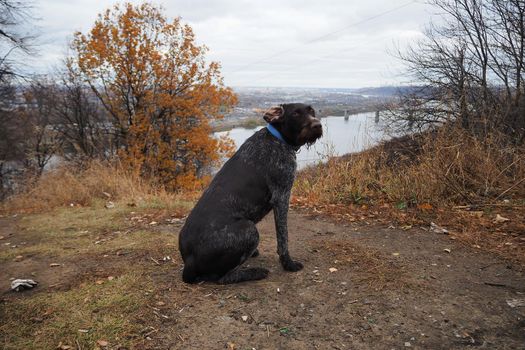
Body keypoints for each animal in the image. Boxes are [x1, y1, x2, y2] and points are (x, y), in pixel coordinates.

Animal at [178, 102, 322, 284]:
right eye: (295, 113)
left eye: (312, 111)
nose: (318, 125)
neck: (277, 139)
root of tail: (188, 262)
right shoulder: (282, 197)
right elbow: (283, 238)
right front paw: (288, 263)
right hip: (249, 229)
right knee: (223, 278)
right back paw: (255, 272)